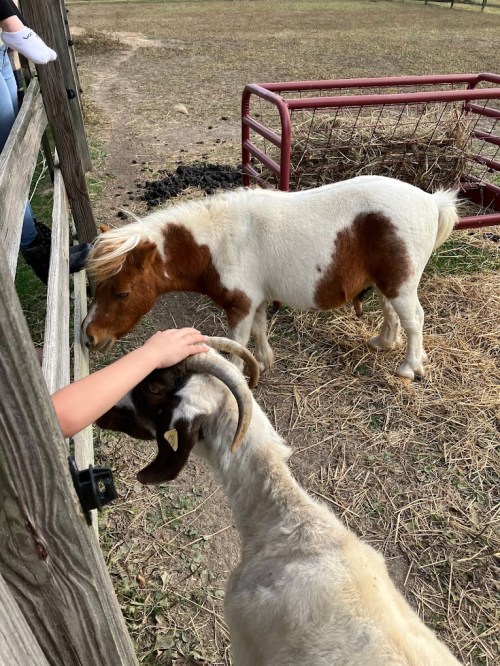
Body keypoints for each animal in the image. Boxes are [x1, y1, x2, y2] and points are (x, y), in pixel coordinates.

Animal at [82, 175, 459, 380]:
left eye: (122, 293)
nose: (89, 337)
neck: (218, 241)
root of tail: (430, 200)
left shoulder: (239, 305)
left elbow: (236, 344)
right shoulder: (256, 300)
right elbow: (260, 330)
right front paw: (264, 361)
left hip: (402, 284)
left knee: (414, 320)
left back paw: (409, 367)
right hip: (387, 282)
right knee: (391, 313)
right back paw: (383, 343)